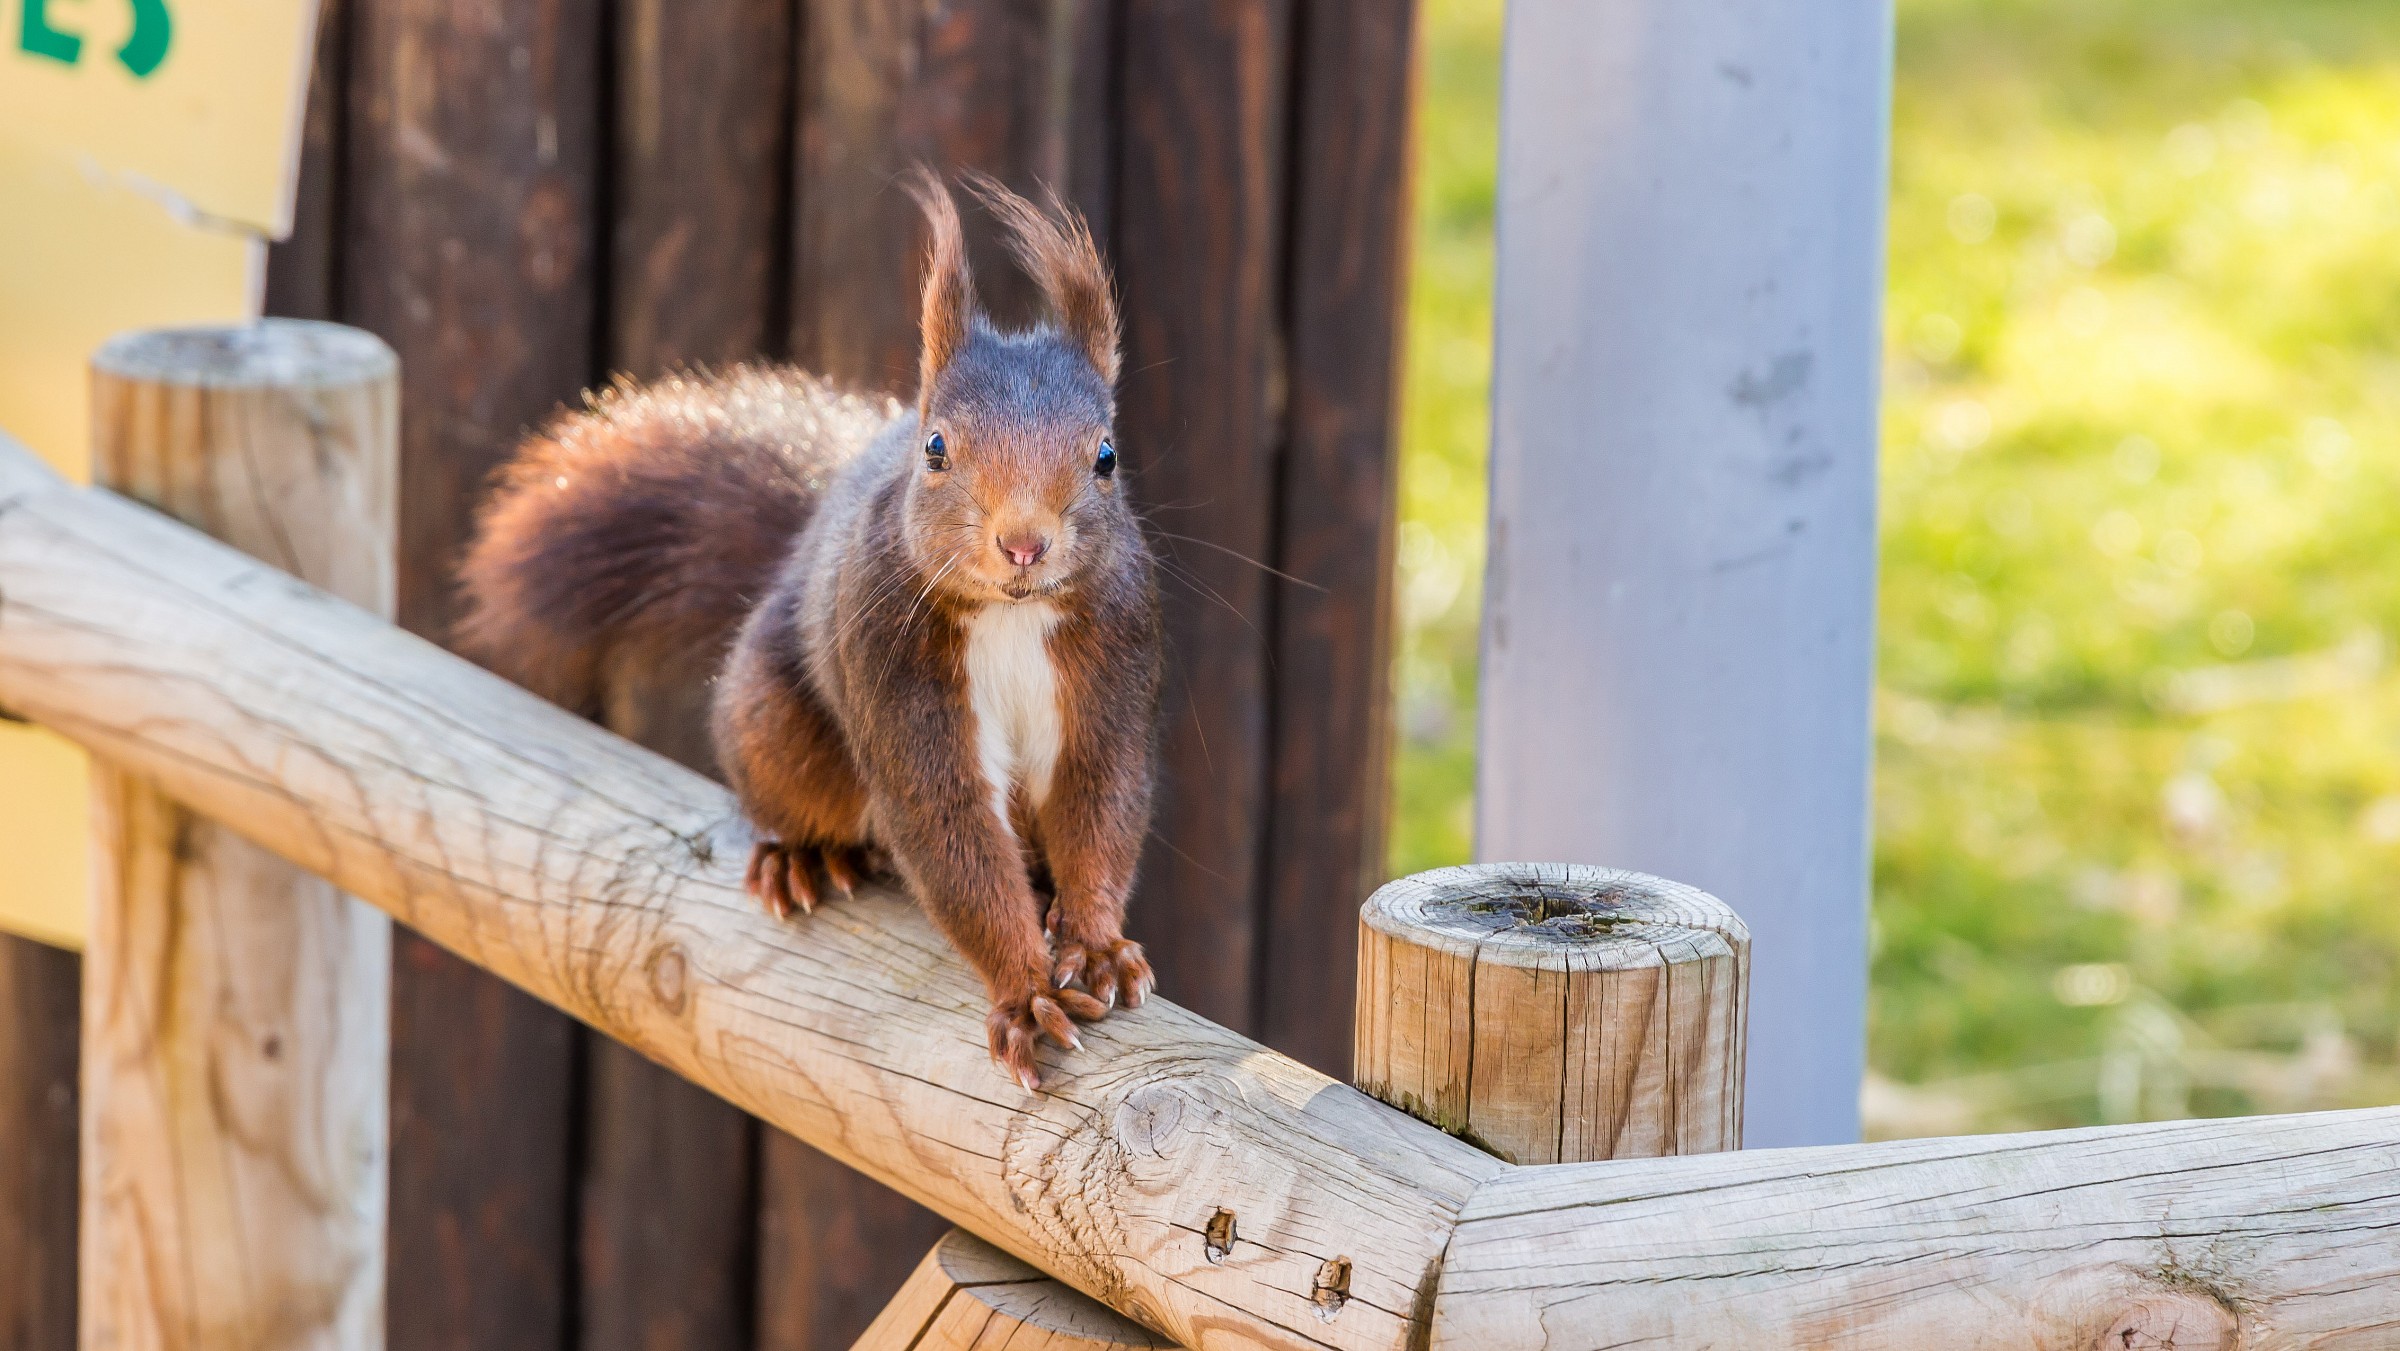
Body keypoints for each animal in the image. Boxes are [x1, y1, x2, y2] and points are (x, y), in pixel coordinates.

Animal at [455, 170, 1161, 1091]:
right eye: (937, 448)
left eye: (1106, 456)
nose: (1023, 542)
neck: (1011, 611)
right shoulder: (890, 662)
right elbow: (949, 828)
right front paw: (1026, 992)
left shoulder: (1114, 661)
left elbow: (1100, 805)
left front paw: (1098, 947)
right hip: (774, 720)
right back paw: (800, 857)